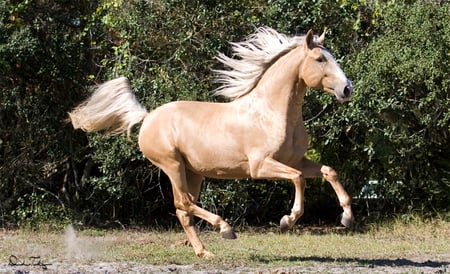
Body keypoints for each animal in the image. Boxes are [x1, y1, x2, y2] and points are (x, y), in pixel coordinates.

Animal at [67, 27, 356, 256]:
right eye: (320, 58)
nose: (347, 89)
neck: (270, 112)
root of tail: (147, 117)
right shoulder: (260, 166)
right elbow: (298, 179)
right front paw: (288, 220)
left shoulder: (296, 160)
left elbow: (329, 171)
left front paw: (347, 217)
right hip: (172, 165)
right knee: (183, 203)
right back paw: (225, 229)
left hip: (193, 172)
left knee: (183, 210)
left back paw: (203, 251)